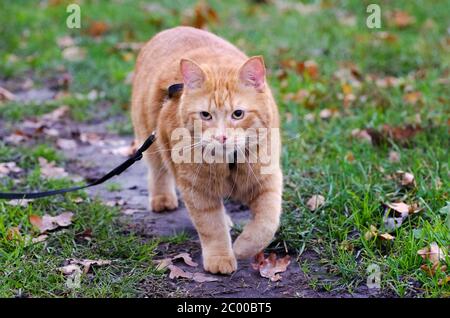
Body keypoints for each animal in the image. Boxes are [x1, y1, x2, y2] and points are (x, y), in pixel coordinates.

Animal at [132, 26, 284, 274]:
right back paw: (162, 199)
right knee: (158, 171)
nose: (221, 137)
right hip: (150, 140)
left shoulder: (267, 181)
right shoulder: (197, 189)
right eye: (205, 115)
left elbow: (266, 225)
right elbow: (211, 227)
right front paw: (221, 258)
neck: (229, 161)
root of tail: (172, 28)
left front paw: (242, 248)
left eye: (238, 114)